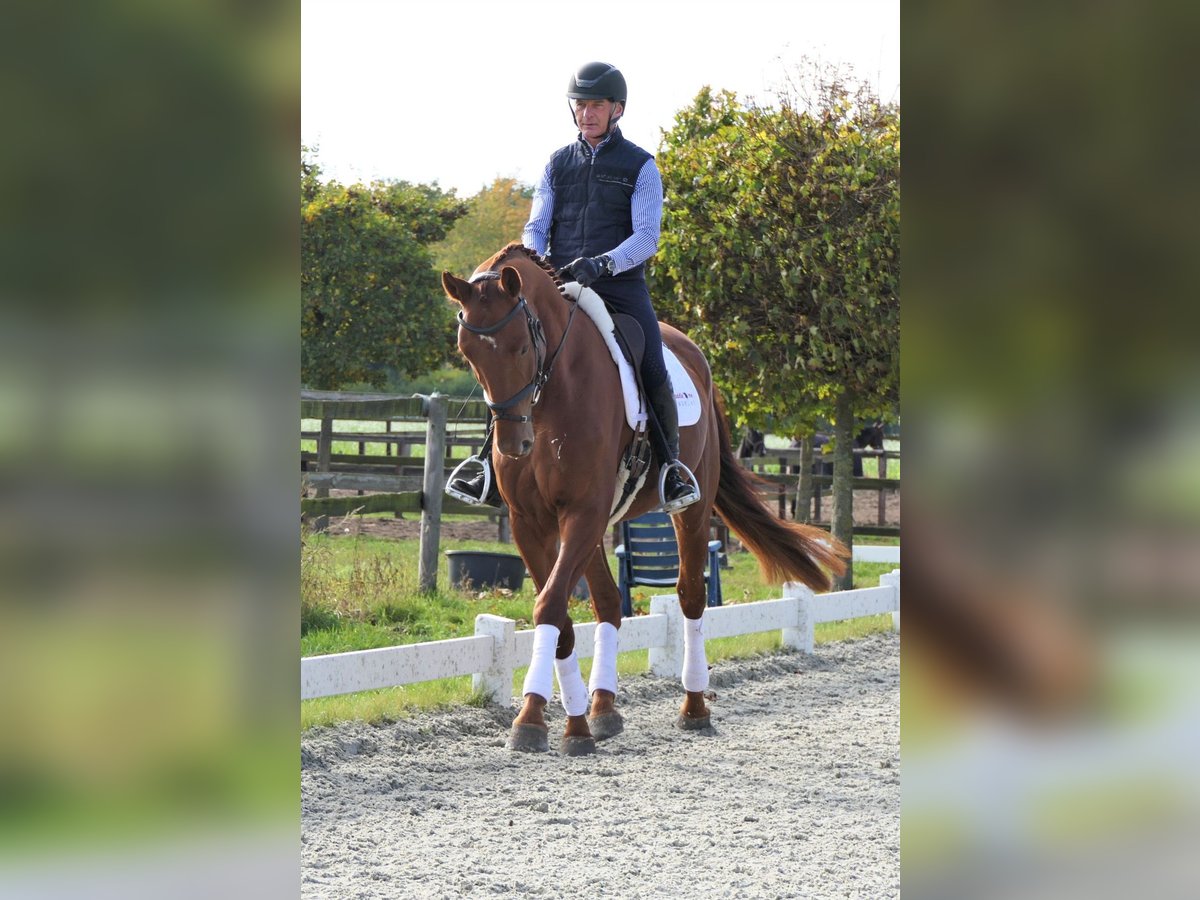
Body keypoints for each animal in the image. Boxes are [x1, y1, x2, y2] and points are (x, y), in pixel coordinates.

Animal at [441, 243, 848, 755]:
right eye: (467, 352)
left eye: (520, 346)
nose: (516, 444)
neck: (554, 394)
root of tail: (693, 352)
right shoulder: (530, 521)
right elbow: (559, 613)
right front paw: (570, 723)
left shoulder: (583, 511)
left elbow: (550, 605)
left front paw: (533, 718)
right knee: (609, 602)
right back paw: (601, 708)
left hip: (690, 509)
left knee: (690, 596)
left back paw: (694, 707)